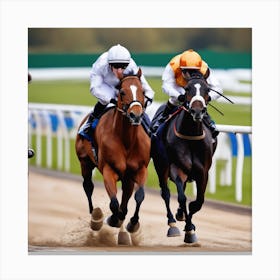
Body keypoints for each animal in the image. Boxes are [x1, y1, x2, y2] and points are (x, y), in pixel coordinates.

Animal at [74, 68, 150, 245]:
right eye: (122, 92)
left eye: (143, 91)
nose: (136, 115)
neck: (126, 140)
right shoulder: (109, 170)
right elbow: (114, 203)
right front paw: (112, 219)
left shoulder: (140, 170)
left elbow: (138, 196)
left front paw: (132, 224)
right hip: (84, 162)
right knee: (88, 186)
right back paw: (95, 218)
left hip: (127, 178)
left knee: (126, 198)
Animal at [151, 73, 217, 244]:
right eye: (187, 89)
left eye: (208, 89)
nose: (197, 111)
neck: (191, 136)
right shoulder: (176, 168)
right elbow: (181, 197)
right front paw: (188, 229)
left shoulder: (203, 172)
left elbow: (197, 203)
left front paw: (190, 227)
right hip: (161, 165)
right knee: (166, 193)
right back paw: (172, 223)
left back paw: (181, 215)